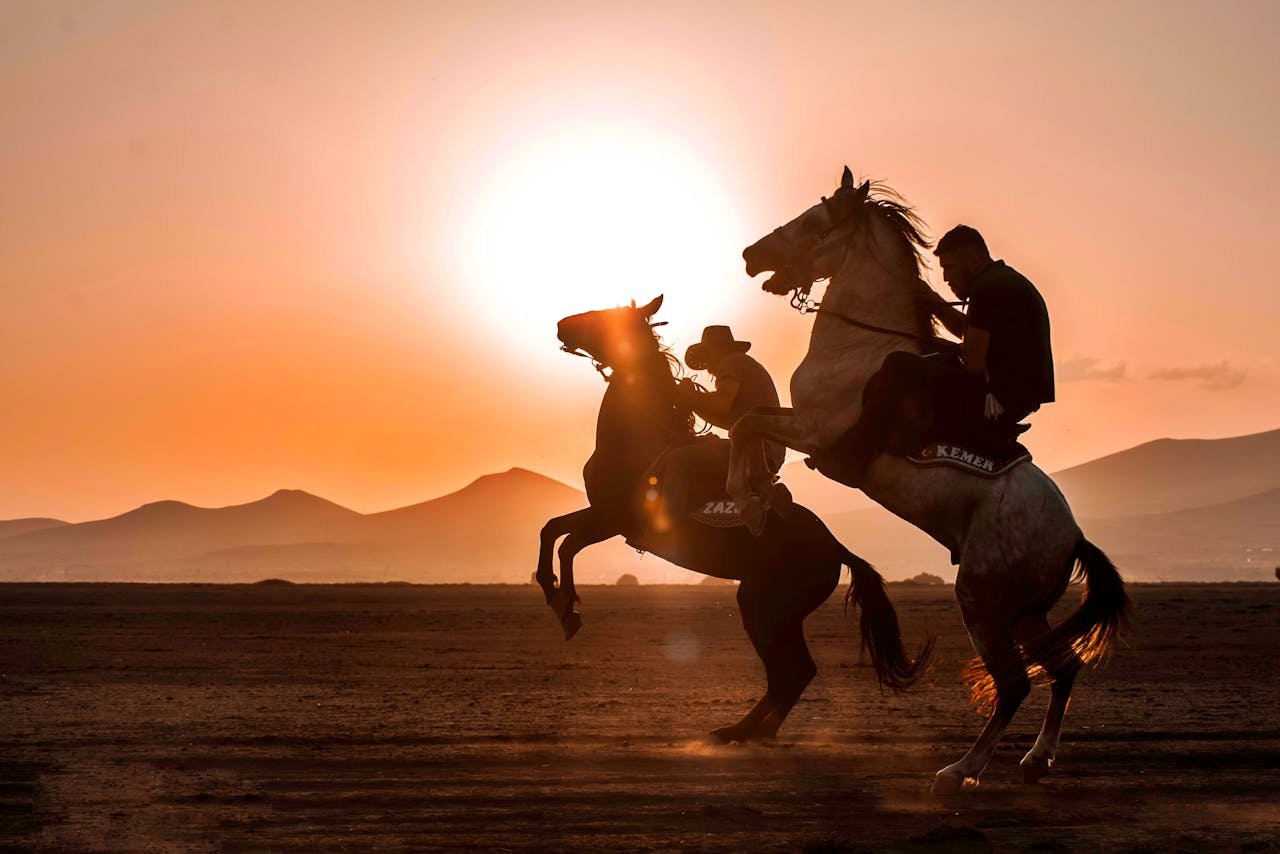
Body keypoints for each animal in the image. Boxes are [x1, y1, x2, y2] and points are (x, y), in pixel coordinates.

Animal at [532, 295, 931, 742]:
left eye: (610, 317)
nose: (563, 324)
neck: (638, 439)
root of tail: (836, 548)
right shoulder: (599, 512)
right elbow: (551, 530)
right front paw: (557, 597)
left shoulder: (612, 519)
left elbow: (567, 544)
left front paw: (567, 607)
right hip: (778, 613)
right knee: (793, 673)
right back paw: (753, 731)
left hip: (763, 607)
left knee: (791, 672)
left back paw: (739, 731)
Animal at [732, 166, 1131, 793]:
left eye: (814, 220)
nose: (752, 255)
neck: (863, 346)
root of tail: (1073, 537)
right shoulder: (800, 423)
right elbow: (749, 422)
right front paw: (755, 495)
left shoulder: (817, 432)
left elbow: (746, 421)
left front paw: (749, 499)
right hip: (1025, 612)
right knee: (1061, 668)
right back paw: (1036, 760)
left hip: (981, 602)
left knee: (1015, 683)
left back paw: (961, 769)